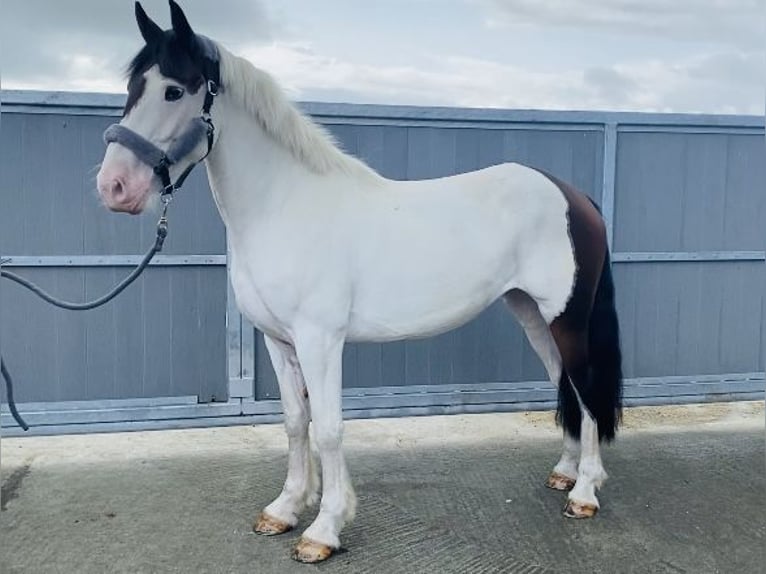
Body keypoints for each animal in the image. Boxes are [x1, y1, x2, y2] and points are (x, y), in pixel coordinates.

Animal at [97, 1, 624, 568]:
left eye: (174, 90)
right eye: (132, 88)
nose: (114, 187)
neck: (285, 206)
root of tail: (573, 196)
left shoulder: (321, 340)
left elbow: (328, 428)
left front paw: (323, 529)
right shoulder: (278, 341)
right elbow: (294, 421)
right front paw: (285, 509)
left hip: (565, 318)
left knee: (586, 389)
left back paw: (585, 492)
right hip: (531, 314)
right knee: (564, 384)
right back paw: (565, 474)